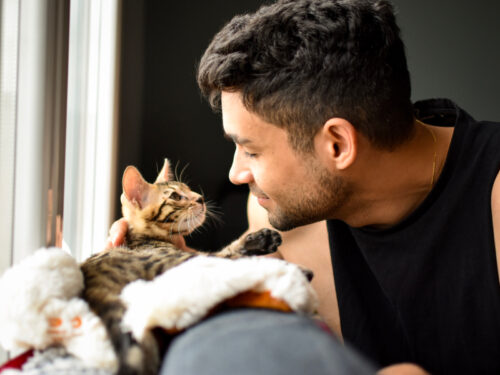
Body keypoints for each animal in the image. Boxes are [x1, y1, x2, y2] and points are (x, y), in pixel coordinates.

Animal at [80, 159, 280, 375]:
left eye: (188, 188)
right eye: (176, 196)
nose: (200, 198)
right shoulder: (185, 260)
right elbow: (226, 253)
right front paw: (260, 242)